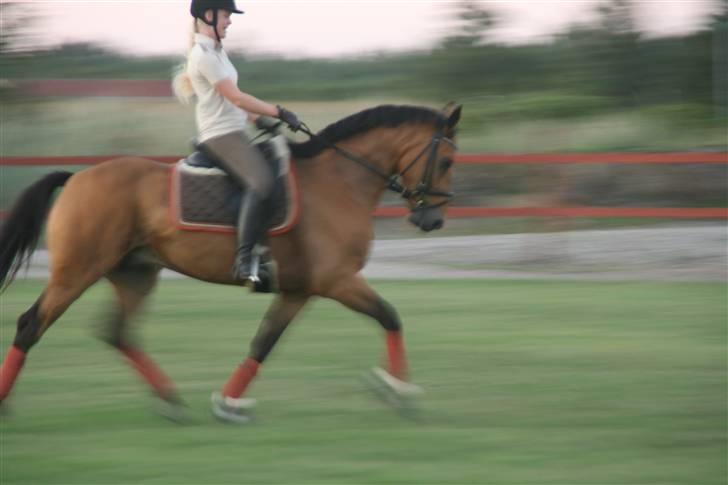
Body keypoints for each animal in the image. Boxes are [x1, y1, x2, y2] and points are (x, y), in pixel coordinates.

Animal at [0, 103, 464, 424]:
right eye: (446, 161)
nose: (432, 220)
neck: (339, 181)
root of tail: (77, 177)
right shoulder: (338, 281)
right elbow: (390, 317)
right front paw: (398, 390)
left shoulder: (299, 290)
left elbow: (263, 343)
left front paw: (228, 403)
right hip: (77, 271)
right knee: (31, 324)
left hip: (135, 274)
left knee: (118, 333)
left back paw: (171, 401)